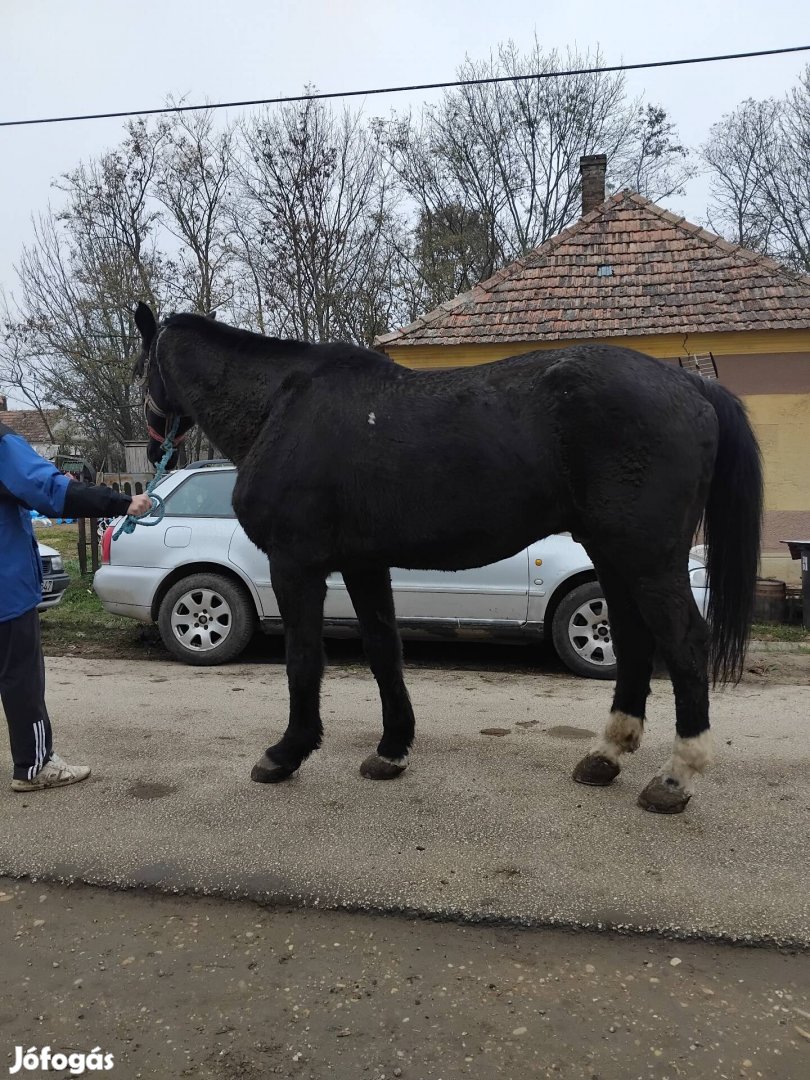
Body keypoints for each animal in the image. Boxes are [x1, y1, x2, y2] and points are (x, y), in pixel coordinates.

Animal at [135, 302, 768, 812]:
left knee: (685, 642)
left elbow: (303, 662)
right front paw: (391, 751)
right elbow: (384, 650)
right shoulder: (363, 563)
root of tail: (691, 388)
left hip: (647, 558)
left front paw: (285, 754)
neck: (282, 405)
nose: (155, 445)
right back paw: (606, 756)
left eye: (142, 367)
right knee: (635, 641)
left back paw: (675, 779)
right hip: (614, 556)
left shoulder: (297, 564)